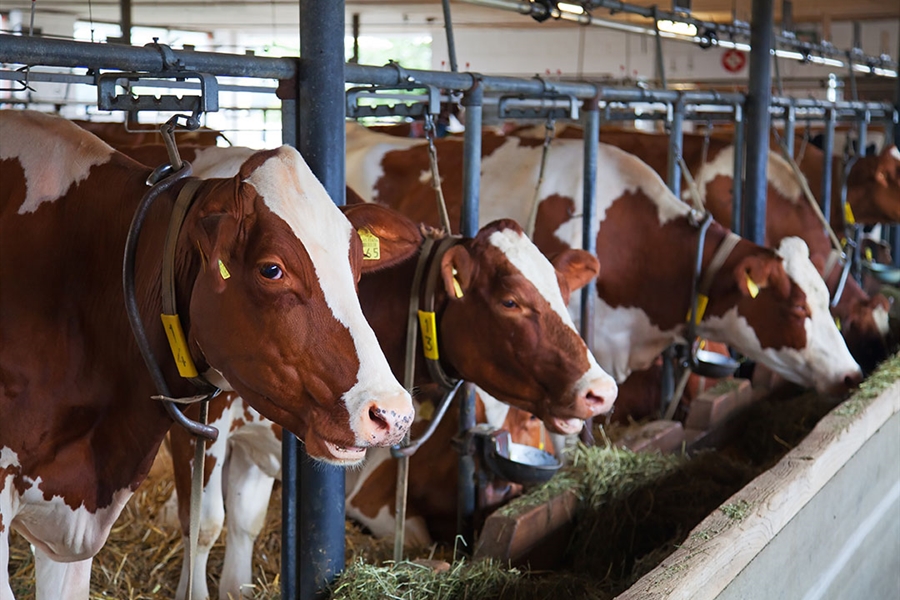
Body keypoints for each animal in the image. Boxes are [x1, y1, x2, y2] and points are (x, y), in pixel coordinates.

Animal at [165, 202, 620, 600]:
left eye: (564, 293)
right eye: (510, 301)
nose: (602, 390)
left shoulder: (263, 442)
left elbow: (246, 521)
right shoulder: (197, 423)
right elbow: (203, 525)